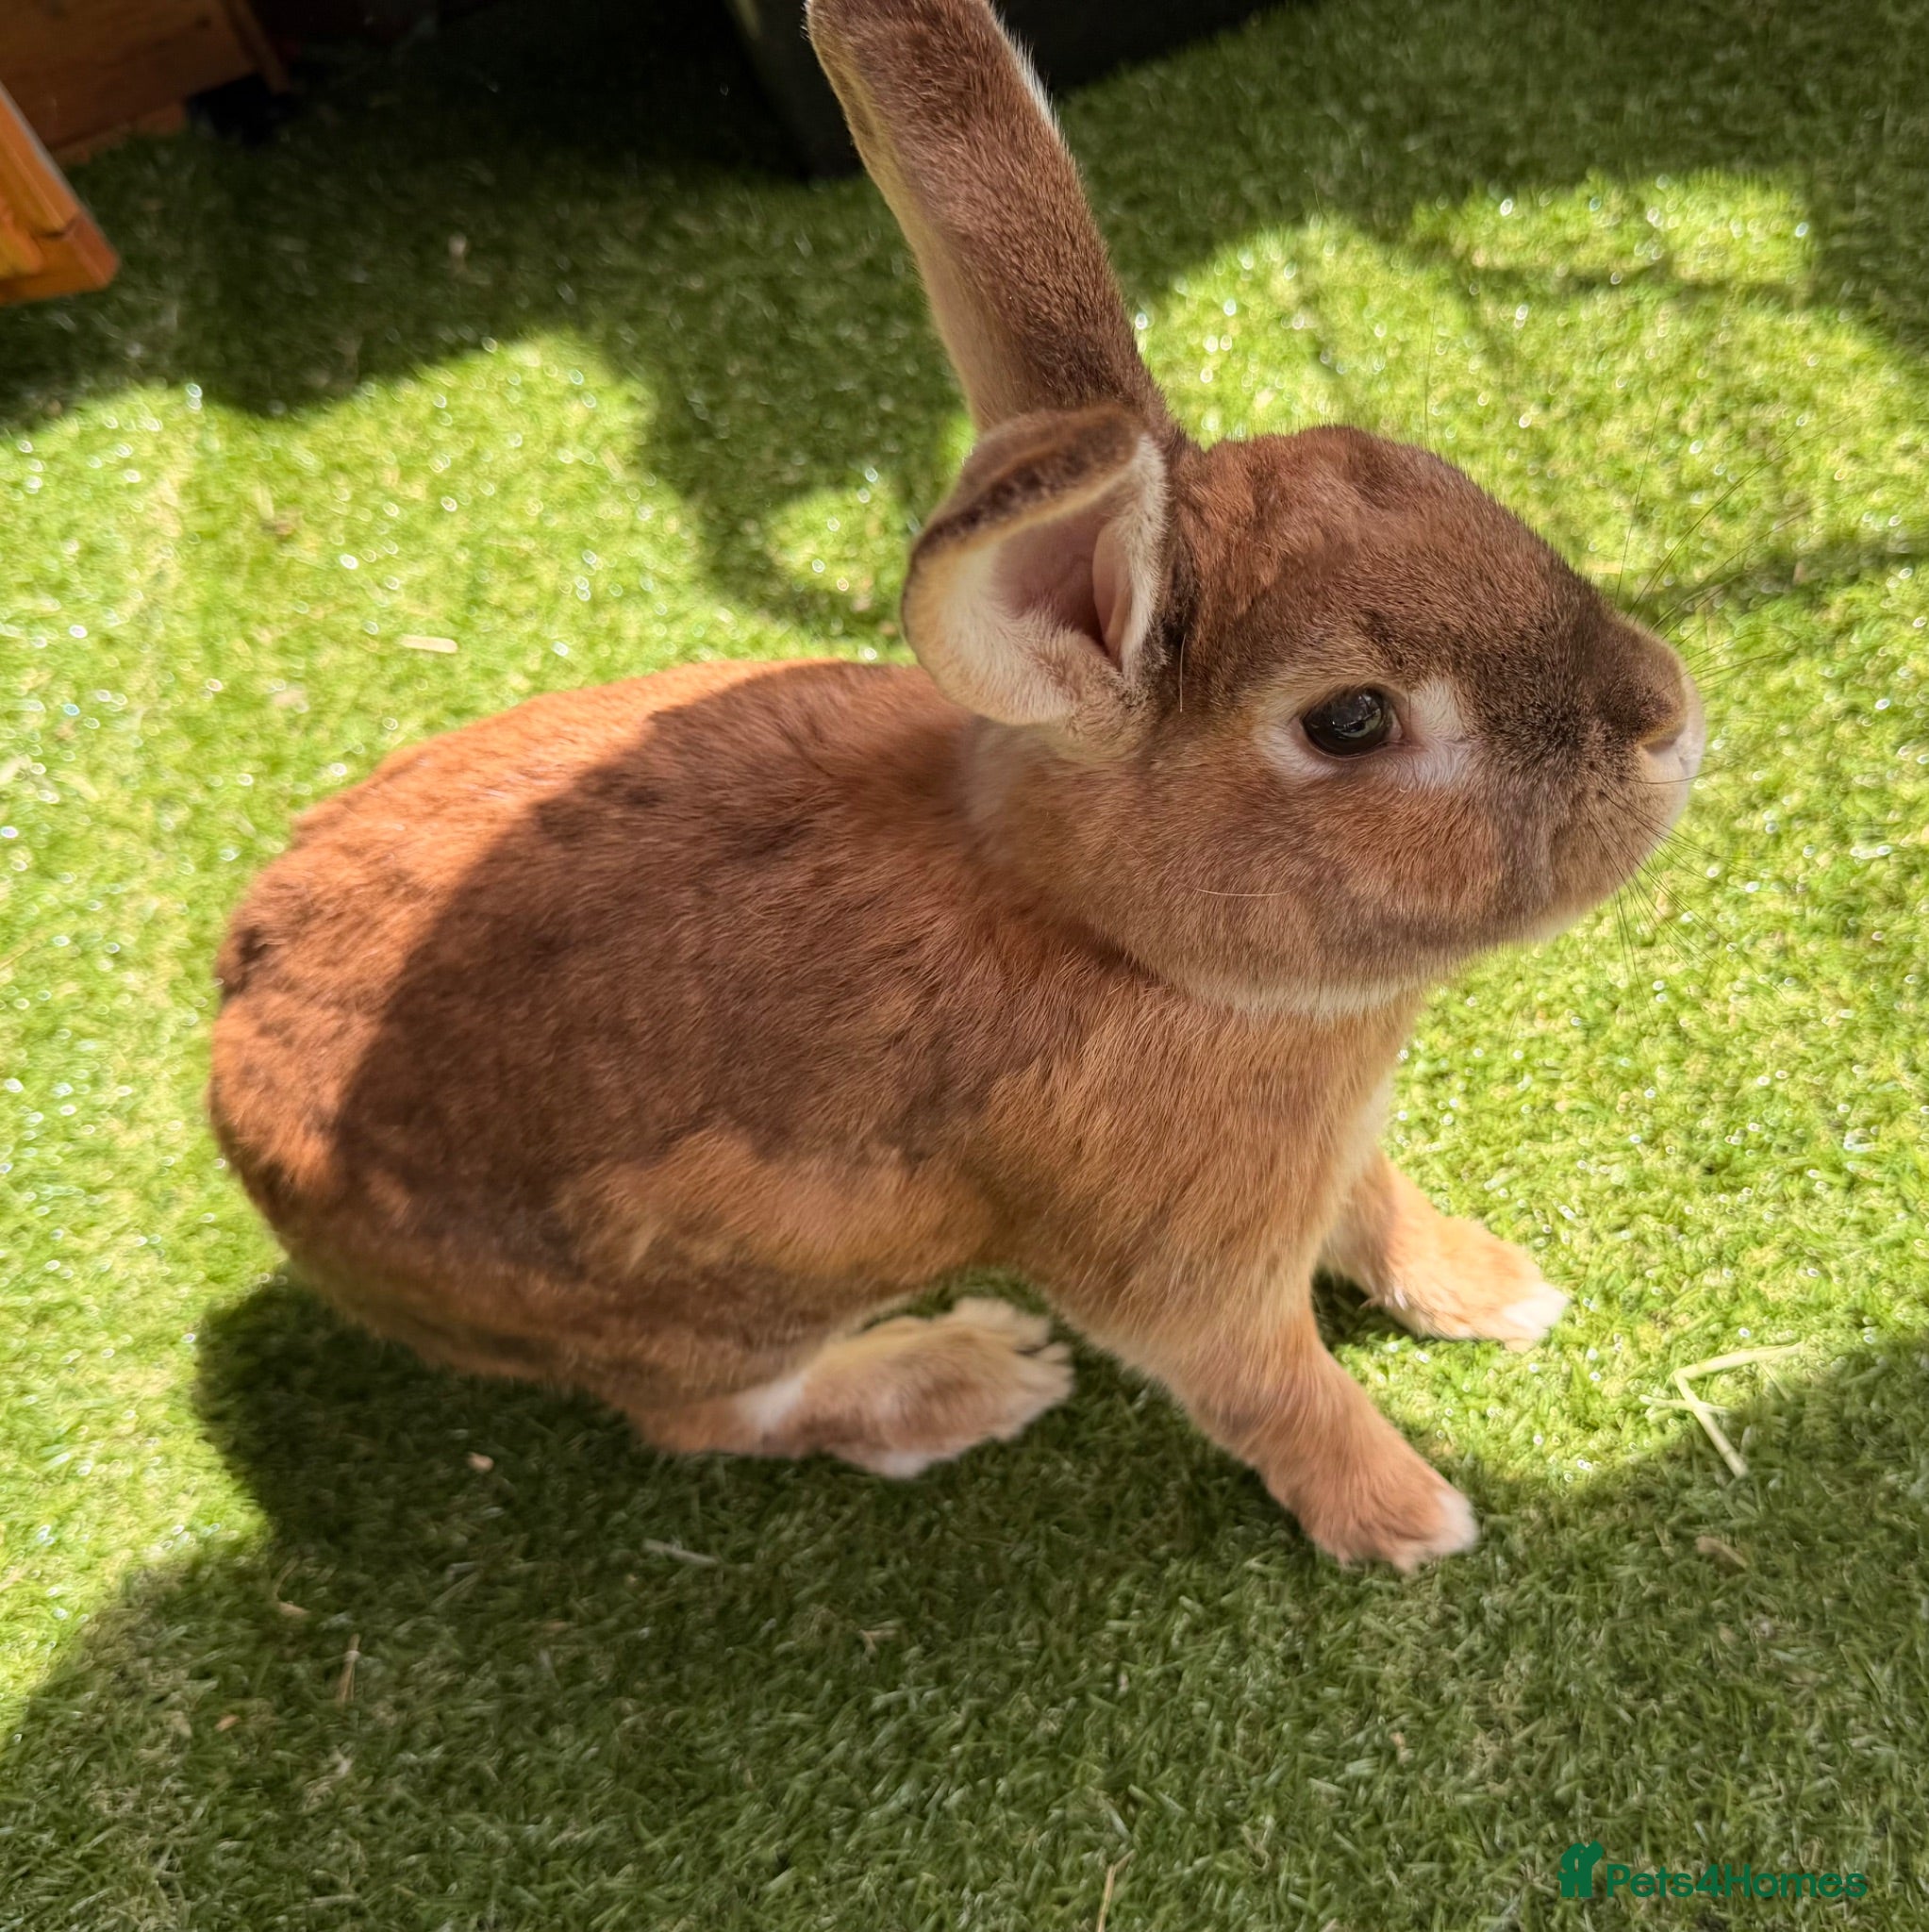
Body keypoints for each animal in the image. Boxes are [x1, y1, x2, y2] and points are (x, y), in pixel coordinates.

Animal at [207, 0, 1703, 1570]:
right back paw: (977, 1374)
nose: (1668, 722)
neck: (1112, 940)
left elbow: (1384, 1214)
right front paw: (1408, 1518)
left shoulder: (1336, 1157)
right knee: (719, 1416)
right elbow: (1271, 1389)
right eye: (1350, 721)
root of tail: (228, 1058)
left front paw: (1498, 1290)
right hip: (707, 1304)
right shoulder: (1181, 1275)